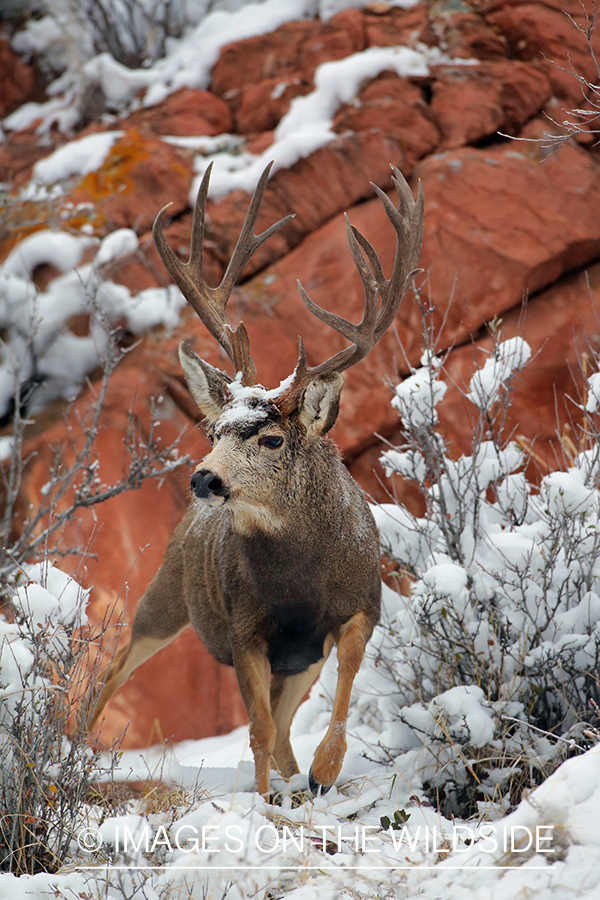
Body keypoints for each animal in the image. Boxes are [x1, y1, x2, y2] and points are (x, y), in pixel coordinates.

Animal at [89, 162, 424, 796]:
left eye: (270, 439)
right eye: (214, 429)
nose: (204, 480)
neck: (298, 583)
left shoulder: (360, 607)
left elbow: (337, 696)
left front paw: (325, 771)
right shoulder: (246, 630)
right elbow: (259, 731)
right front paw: (267, 803)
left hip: (296, 659)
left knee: (287, 725)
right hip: (166, 596)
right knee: (115, 667)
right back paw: (65, 752)